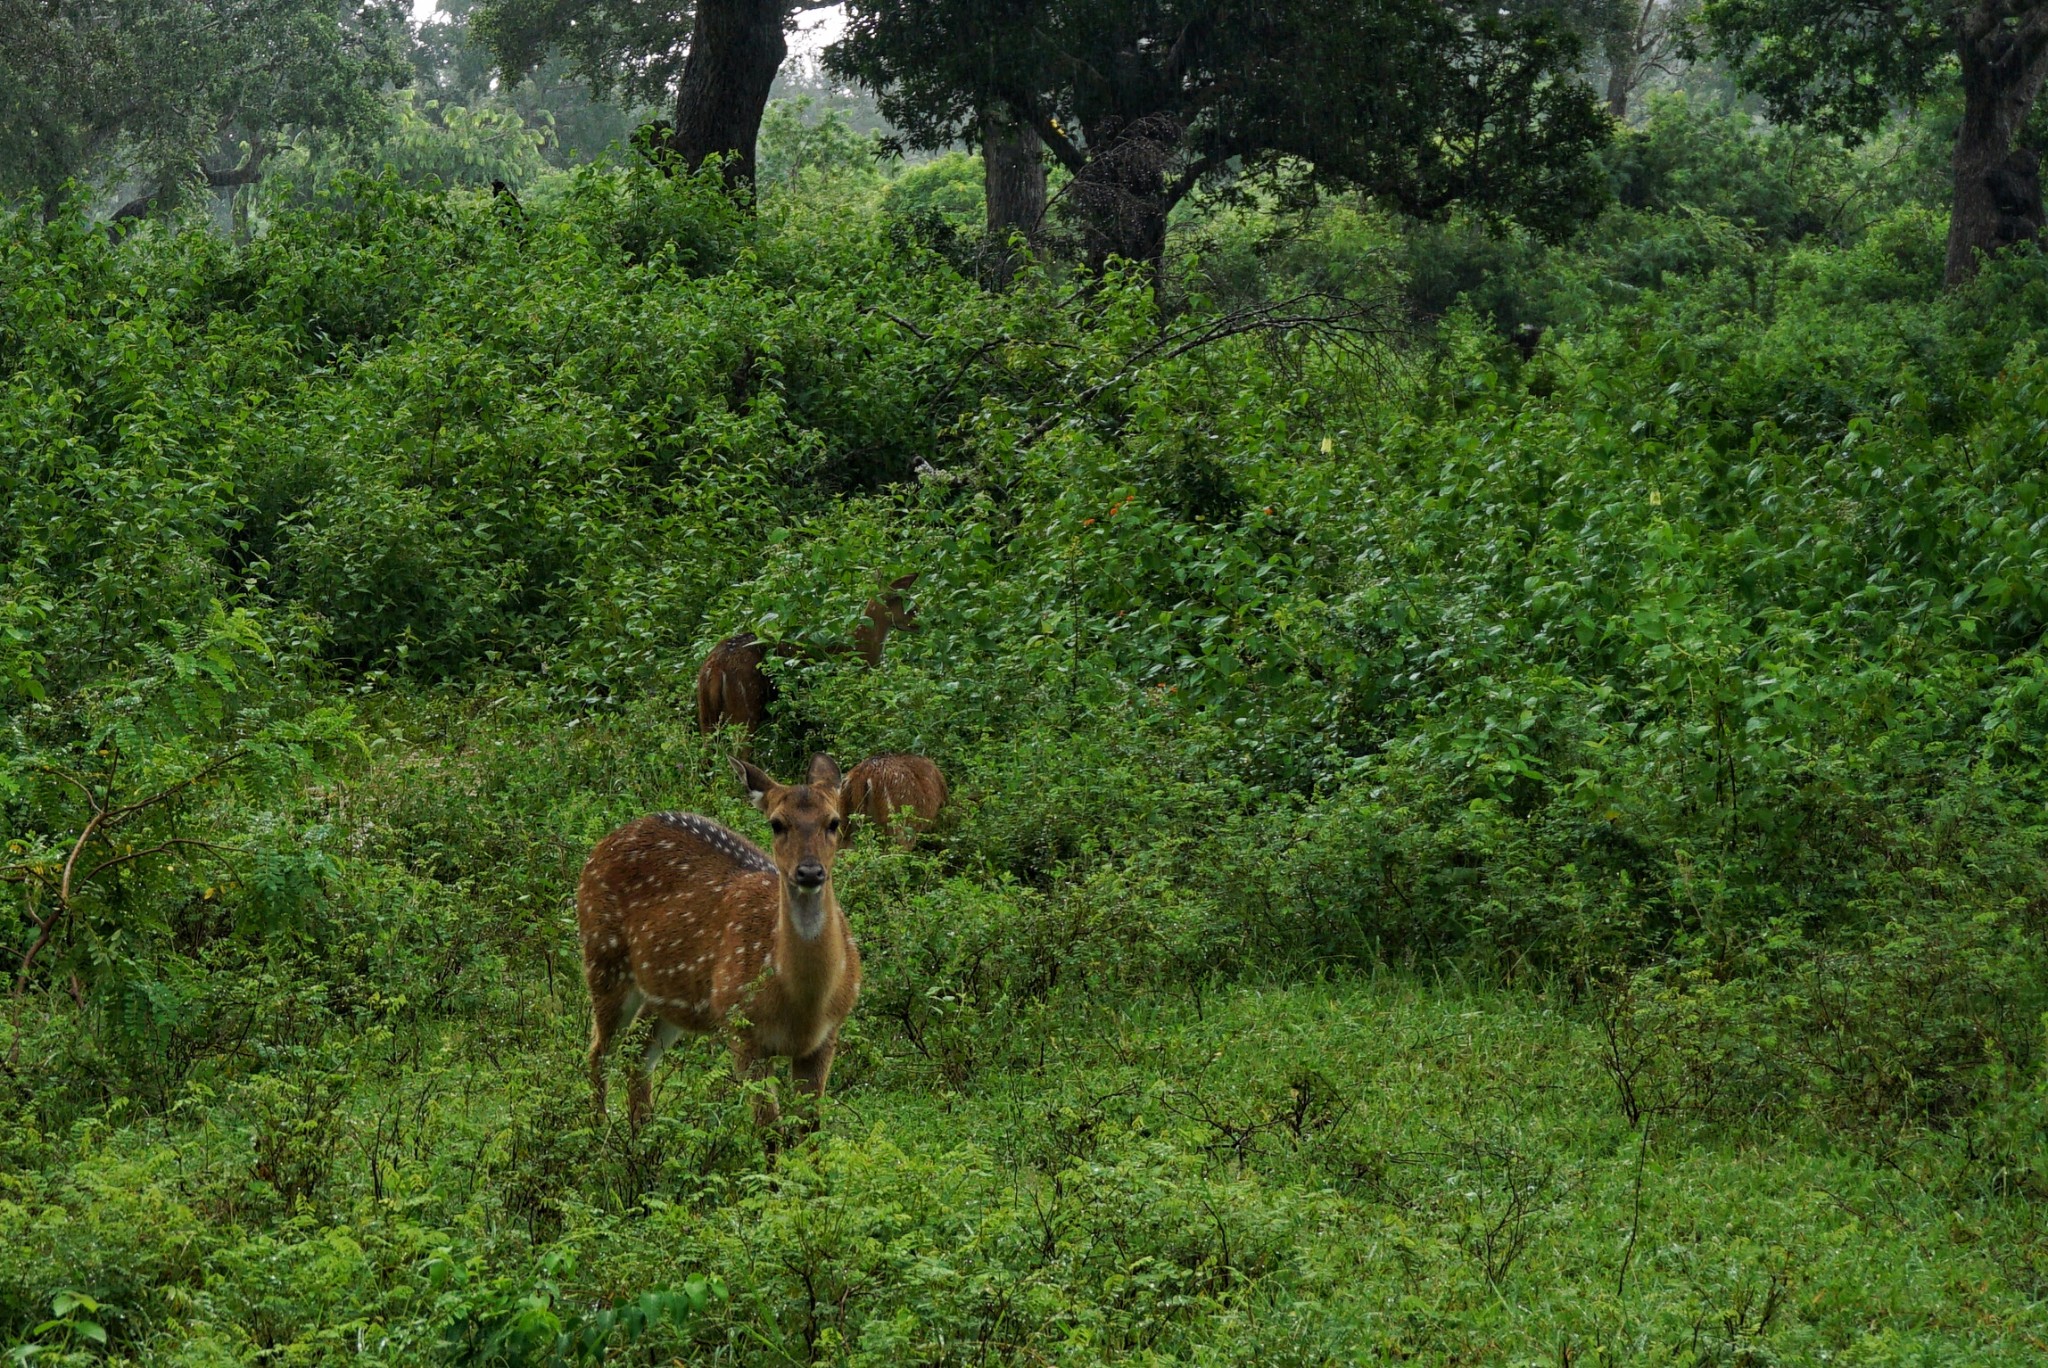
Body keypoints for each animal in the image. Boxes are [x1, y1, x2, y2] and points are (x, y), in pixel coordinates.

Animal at [581, 753, 860, 1130]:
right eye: (776, 823)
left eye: (833, 822)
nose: (809, 872)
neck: (804, 1004)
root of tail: (602, 844)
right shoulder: (741, 1027)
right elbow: (769, 1128)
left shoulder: (828, 1036)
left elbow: (809, 1128)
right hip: (603, 957)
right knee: (600, 1052)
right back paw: (599, 1130)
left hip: (669, 996)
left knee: (638, 1055)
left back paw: (644, 1133)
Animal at [696, 569, 921, 737]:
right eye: (908, 603)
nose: (920, 623)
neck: (859, 648)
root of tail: (714, 668)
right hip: (745, 708)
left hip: (705, 714)